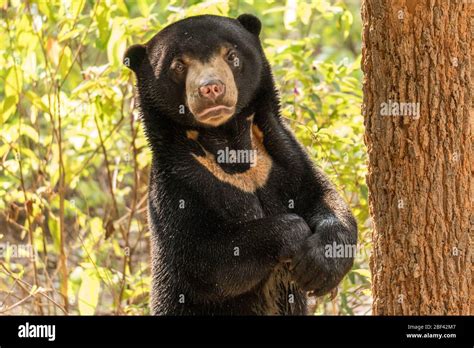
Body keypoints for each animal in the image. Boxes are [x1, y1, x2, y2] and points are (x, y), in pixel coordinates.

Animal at [124, 14, 358, 316]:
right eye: (178, 65)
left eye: (231, 55)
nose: (211, 88)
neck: (227, 142)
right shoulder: (178, 183)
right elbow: (203, 258)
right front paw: (293, 233)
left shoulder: (281, 152)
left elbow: (323, 194)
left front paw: (318, 266)